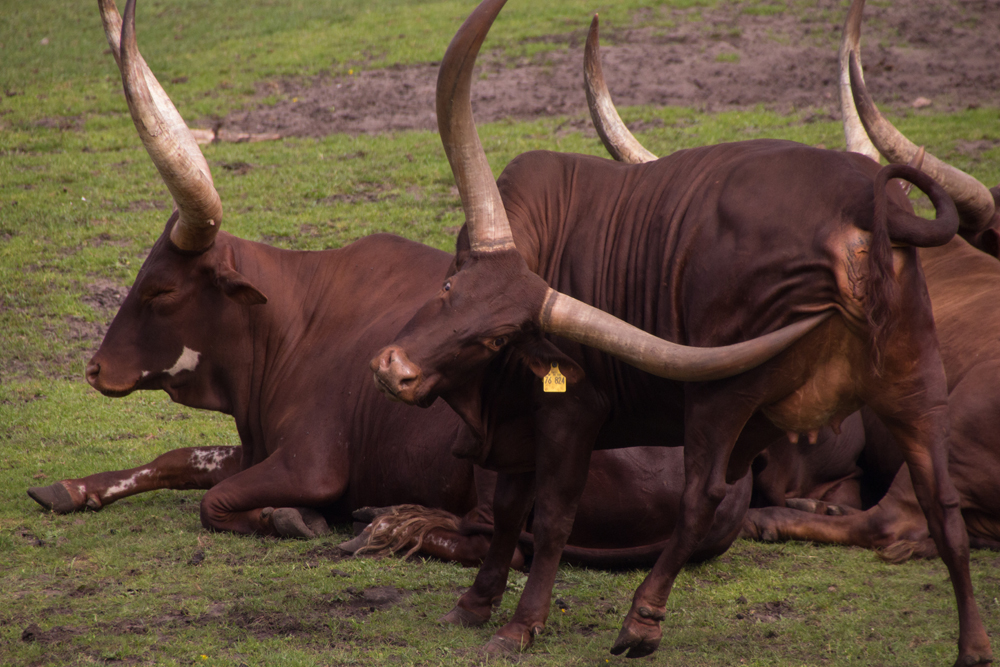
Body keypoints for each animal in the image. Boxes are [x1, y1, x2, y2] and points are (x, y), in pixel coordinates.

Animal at [370, 0, 992, 664]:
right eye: (447, 289)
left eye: (493, 338)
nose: (394, 371)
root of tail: (866, 207)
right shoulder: (523, 412)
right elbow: (512, 506)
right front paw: (474, 604)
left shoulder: (571, 411)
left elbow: (552, 513)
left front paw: (519, 626)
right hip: (917, 385)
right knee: (943, 507)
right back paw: (974, 647)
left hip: (724, 394)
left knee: (702, 498)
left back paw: (641, 622)